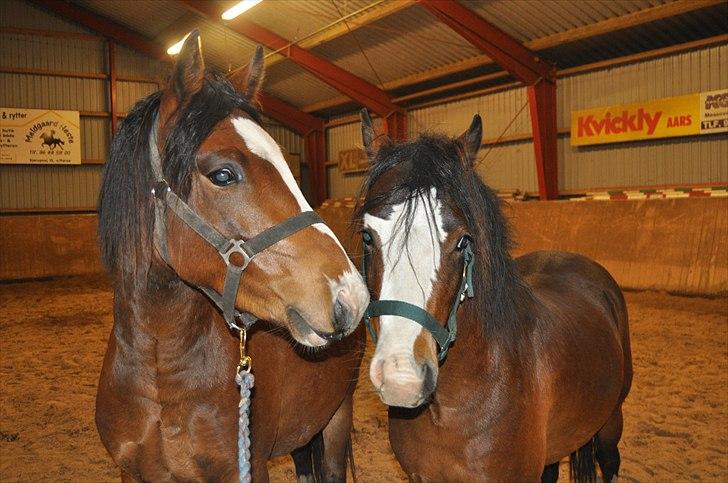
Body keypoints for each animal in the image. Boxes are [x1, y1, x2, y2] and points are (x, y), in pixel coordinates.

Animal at [95, 32, 370, 482]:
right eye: (223, 174)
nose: (350, 294)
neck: (159, 370)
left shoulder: (247, 467)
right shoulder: (133, 472)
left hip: (335, 418)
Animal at [356, 110, 636, 483]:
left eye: (462, 241)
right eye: (367, 236)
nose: (402, 378)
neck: (452, 406)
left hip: (610, 421)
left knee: (610, 460)